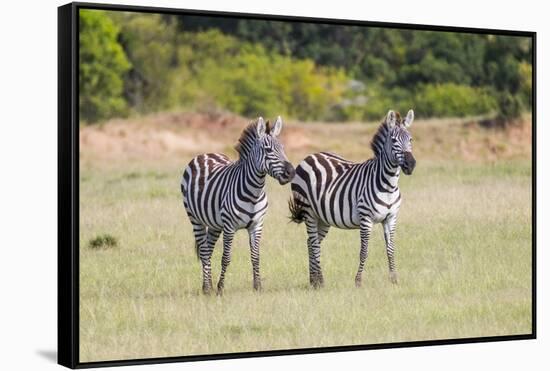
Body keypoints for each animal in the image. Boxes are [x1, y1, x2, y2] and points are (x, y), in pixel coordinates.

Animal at [181, 117, 296, 296]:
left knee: (208, 249)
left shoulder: (257, 225)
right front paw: (221, 288)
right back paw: (207, 288)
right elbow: (226, 258)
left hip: (214, 224)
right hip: (195, 219)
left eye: (283, 148)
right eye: (268, 150)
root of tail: (205, 154)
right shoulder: (229, 226)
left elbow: (255, 256)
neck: (254, 193)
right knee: (204, 251)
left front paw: (258, 287)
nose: (291, 173)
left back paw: (208, 285)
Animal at [292, 110, 416, 290]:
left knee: (311, 243)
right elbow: (364, 251)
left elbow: (391, 249)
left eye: (411, 139)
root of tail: (311, 156)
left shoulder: (391, 218)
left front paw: (394, 280)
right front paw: (358, 281)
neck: (389, 185)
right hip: (308, 212)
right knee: (314, 244)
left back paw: (314, 280)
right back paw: (319, 281)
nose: (411, 165)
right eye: (394, 141)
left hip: (322, 217)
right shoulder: (366, 219)